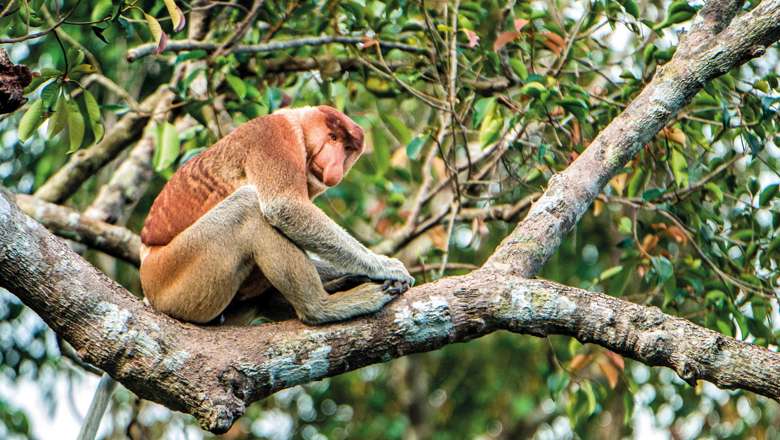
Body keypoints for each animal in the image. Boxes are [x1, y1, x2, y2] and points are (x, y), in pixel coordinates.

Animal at [139, 105, 414, 324]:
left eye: (347, 148)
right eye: (333, 136)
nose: (335, 164)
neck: (299, 129)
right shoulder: (273, 136)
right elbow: (284, 206)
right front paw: (387, 267)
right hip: (171, 276)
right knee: (248, 208)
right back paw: (323, 308)